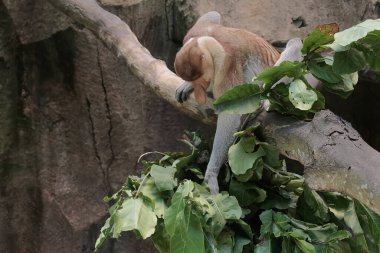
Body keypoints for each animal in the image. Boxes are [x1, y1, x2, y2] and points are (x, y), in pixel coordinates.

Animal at [175, 10, 312, 194]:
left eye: (202, 80)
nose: (199, 90)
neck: (207, 42)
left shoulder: (226, 64)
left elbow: (229, 116)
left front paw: (211, 175)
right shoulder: (194, 32)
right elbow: (213, 15)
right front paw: (187, 85)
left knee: (295, 43)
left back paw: (267, 102)